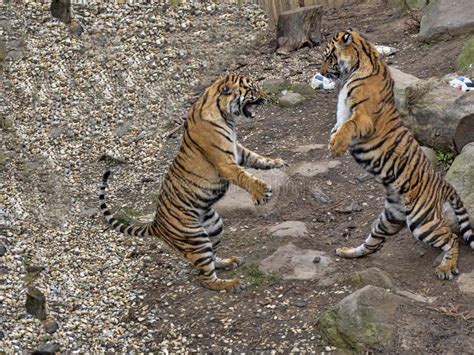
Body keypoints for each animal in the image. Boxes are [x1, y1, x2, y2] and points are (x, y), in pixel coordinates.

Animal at [99, 74, 286, 292]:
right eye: (253, 90)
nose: (266, 97)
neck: (225, 115)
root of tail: (155, 224)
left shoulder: (237, 151)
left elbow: (255, 157)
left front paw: (276, 162)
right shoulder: (225, 162)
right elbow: (244, 177)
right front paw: (262, 193)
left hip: (214, 226)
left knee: (212, 259)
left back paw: (229, 262)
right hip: (195, 238)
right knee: (205, 278)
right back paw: (233, 283)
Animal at [320, 29, 472, 280]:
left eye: (327, 56)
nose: (321, 72)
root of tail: (443, 183)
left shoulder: (363, 118)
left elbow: (348, 126)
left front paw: (336, 146)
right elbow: (338, 126)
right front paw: (333, 140)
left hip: (422, 221)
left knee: (451, 237)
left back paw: (446, 268)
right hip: (390, 218)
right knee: (372, 243)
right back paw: (347, 252)